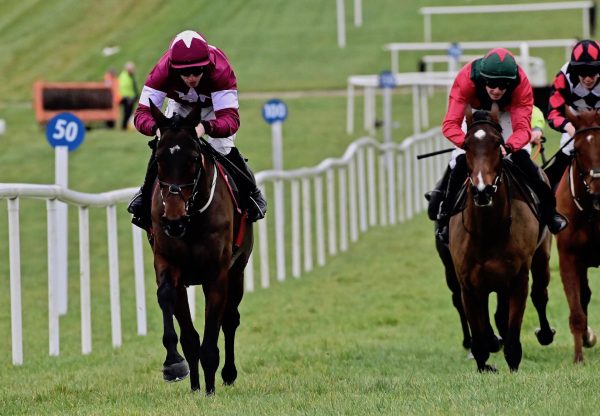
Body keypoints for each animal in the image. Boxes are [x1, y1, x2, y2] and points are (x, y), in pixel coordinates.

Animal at [149, 100, 254, 394]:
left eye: (194, 158)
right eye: (159, 159)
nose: (173, 220)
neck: (192, 219)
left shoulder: (216, 274)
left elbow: (212, 334)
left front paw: (210, 389)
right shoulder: (167, 262)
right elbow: (168, 301)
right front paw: (175, 365)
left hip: (238, 269)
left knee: (230, 319)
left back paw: (227, 374)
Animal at [448, 105, 556, 372]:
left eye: (498, 143)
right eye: (466, 145)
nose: (482, 190)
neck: (488, 230)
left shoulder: (517, 278)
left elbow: (513, 327)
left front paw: (511, 360)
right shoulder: (468, 283)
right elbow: (480, 330)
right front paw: (485, 360)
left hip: (542, 255)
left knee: (540, 293)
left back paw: (545, 333)